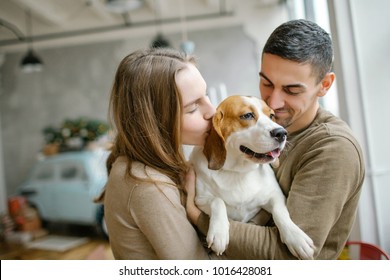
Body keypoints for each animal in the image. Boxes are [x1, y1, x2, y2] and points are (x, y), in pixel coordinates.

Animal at [190, 95, 316, 260]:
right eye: (248, 115)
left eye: (272, 116)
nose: (282, 133)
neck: (238, 171)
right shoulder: (200, 199)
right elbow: (217, 201)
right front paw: (219, 232)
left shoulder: (275, 195)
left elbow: (280, 213)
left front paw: (296, 237)